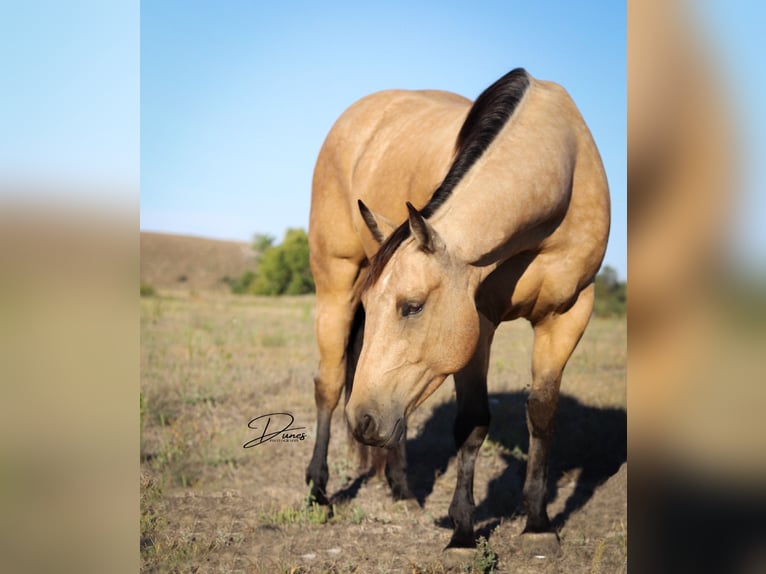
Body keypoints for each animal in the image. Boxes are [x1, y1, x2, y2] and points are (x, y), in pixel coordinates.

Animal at [306, 70, 612, 552]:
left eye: (412, 306)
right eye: (373, 307)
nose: (363, 420)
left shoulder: (568, 315)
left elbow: (542, 414)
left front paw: (538, 522)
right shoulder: (479, 321)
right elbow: (472, 423)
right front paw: (464, 533)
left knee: (395, 418)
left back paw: (402, 490)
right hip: (335, 284)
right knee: (330, 386)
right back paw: (319, 492)